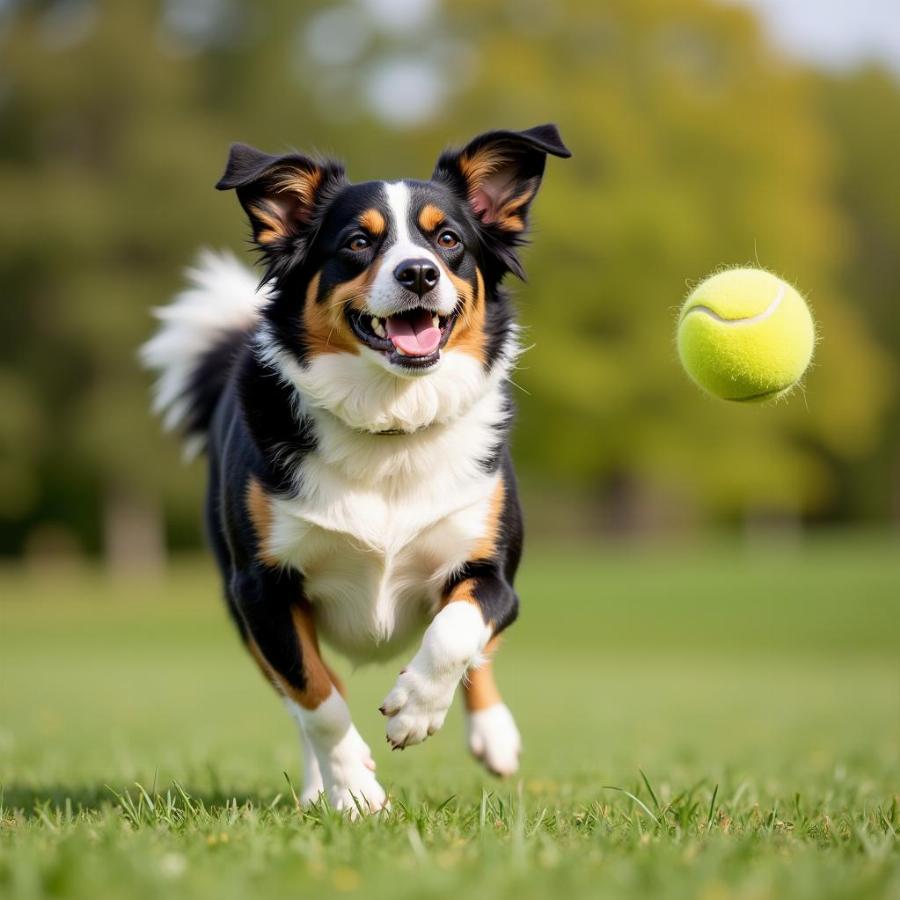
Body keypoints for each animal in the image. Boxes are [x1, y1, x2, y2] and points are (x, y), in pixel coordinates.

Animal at [142, 125, 568, 816]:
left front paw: (415, 711)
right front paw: (355, 792)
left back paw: (494, 737)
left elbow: (456, 634)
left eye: (448, 240)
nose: (418, 272)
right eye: (357, 242)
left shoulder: (495, 575)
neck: (390, 426)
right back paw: (322, 786)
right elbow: (318, 701)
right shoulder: (262, 593)